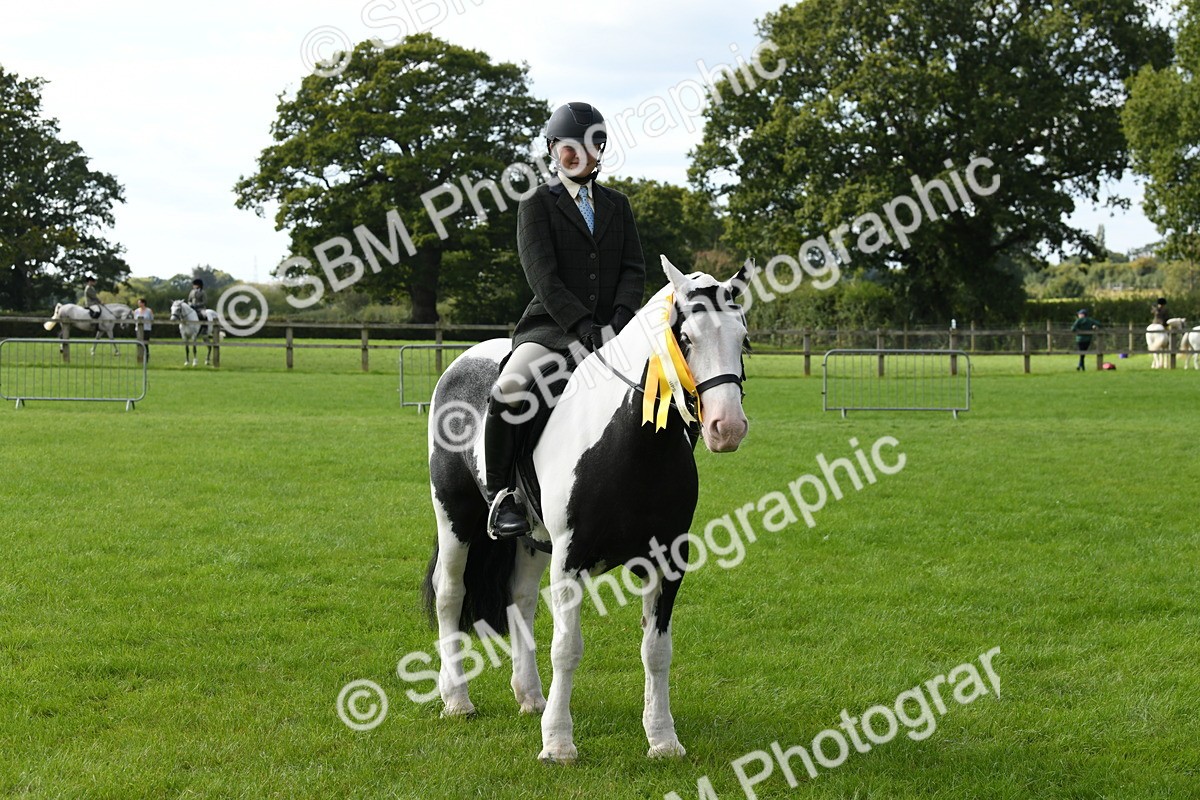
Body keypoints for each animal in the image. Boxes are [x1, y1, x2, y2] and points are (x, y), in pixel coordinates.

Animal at [423, 257, 751, 763]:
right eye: (687, 338)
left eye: (744, 339)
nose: (727, 427)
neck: (633, 443)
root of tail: (464, 361)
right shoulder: (570, 559)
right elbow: (567, 648)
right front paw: (558, 744)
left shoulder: (668, 562)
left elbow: (657, 650)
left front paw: (663, 739)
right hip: (454, 515)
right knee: (450, 594)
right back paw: (457, 700)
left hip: (531, 539)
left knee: (520, 598)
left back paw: (530, 697)